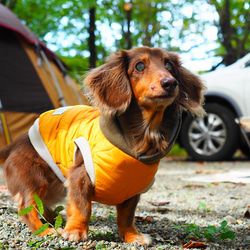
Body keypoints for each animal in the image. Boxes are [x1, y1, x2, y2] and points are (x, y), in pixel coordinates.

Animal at [0, 46, 205, 244]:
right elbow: (82, 208)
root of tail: (17, 141)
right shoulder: (80, 176)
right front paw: (75, 231)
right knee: (26, 207)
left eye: (169, 65)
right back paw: (44, 231)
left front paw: (132, 236)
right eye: (139, 66)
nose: (170, 83)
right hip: (36, 177)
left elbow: (126, 216)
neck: (141, 137)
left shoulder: (133, 190)